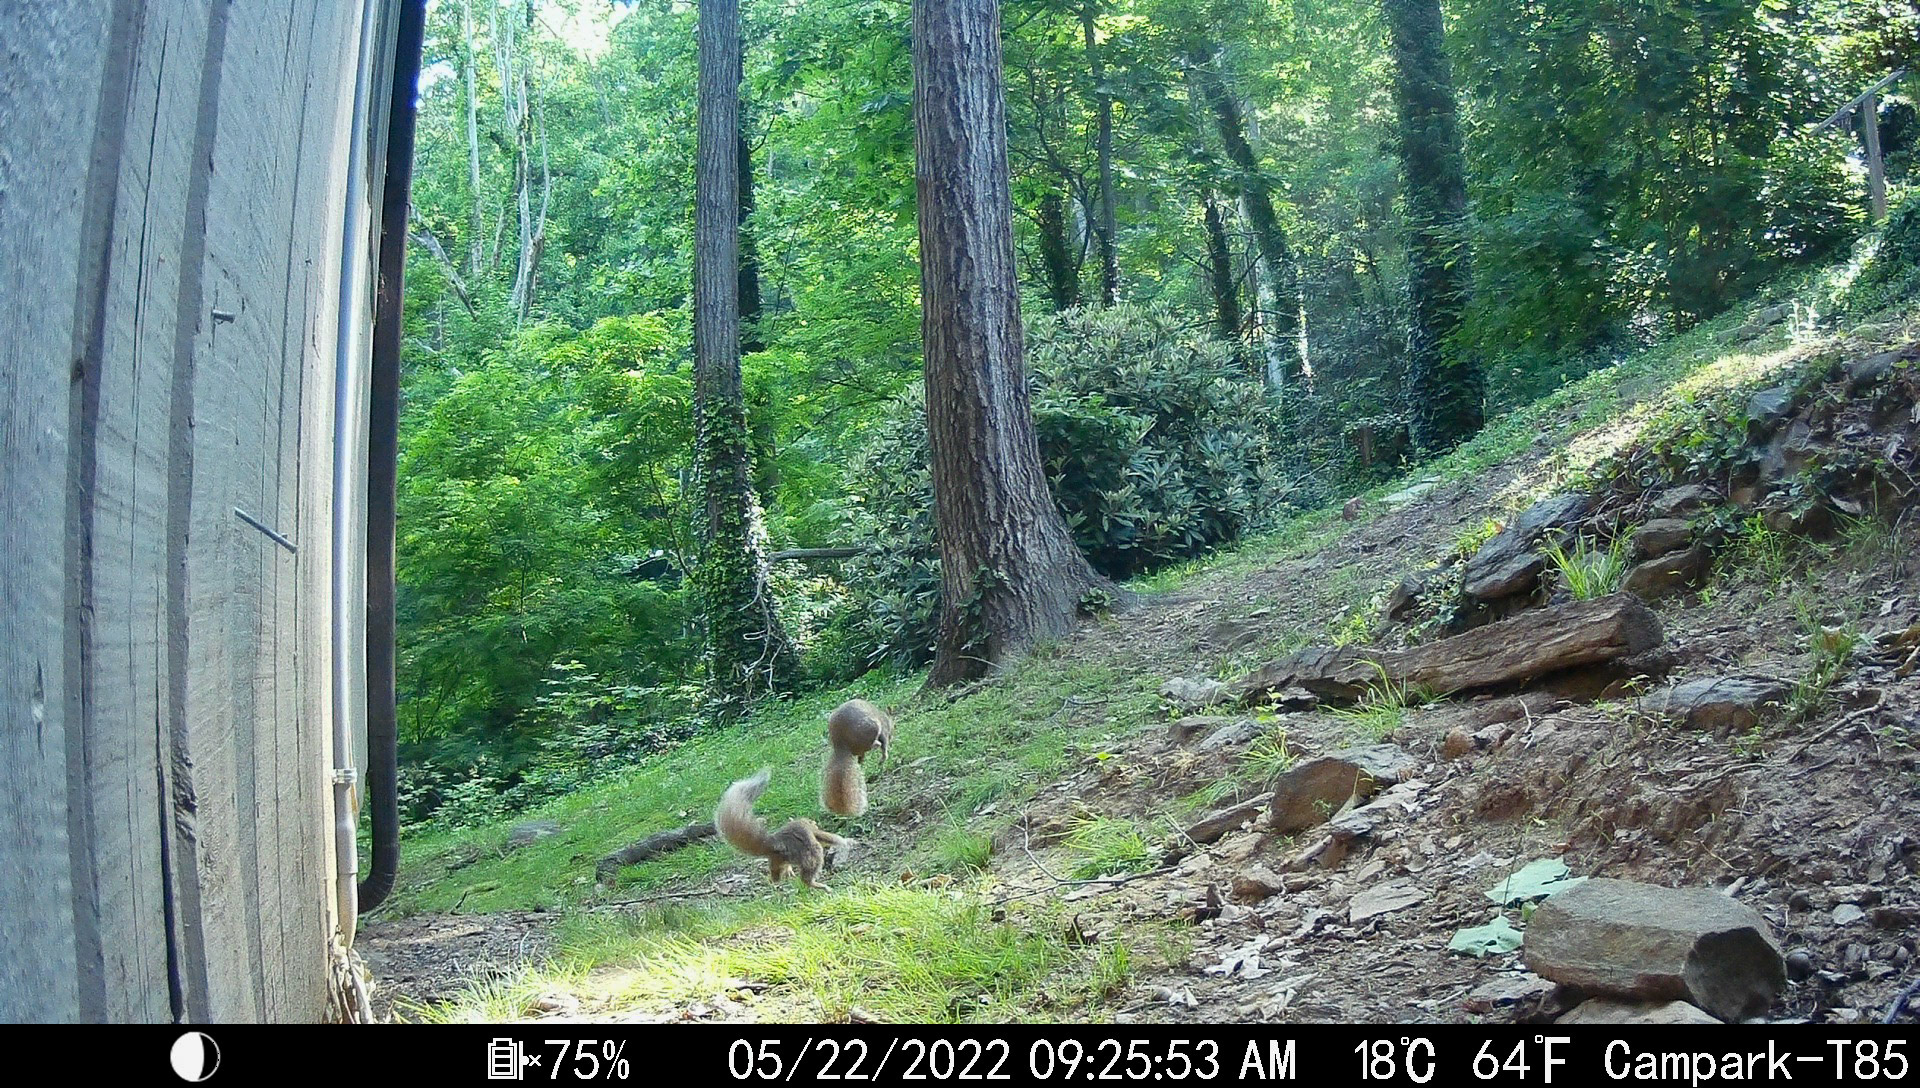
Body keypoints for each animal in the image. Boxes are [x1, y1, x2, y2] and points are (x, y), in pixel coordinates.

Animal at [714, 768, 852, 891]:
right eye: (813, 823)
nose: (815, 823)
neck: (803, 822)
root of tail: (776, 844)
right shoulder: (815, 833)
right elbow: (831, 838)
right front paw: (846, 841)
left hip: (777, 861)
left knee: (775, 876)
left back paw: (778, 877)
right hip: (812, 856)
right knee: (806, 880)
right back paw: (822, 887)